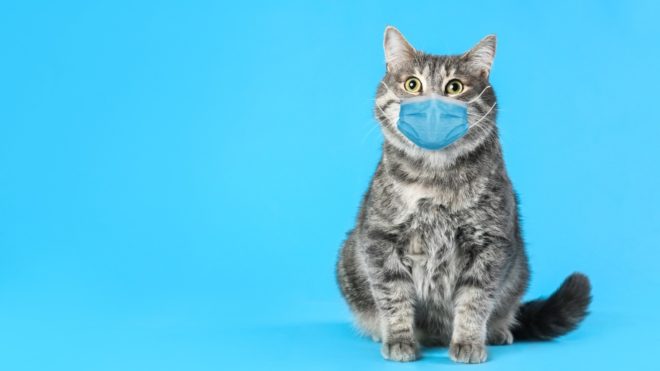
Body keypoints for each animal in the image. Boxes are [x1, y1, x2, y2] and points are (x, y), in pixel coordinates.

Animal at [338, 26, 592, 366]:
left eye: (454, 87)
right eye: (412, 84)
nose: (431, 105)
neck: (434, 178)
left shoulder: (490, 243)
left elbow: (474, 299)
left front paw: (469, 341)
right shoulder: (380, 238)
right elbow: (393, 295)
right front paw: (400, 339)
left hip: (518, 271)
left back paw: (497, 331)